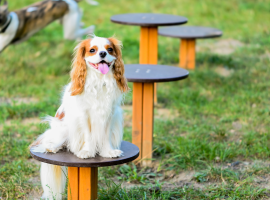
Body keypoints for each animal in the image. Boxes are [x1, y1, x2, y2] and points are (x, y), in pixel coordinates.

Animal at [30, 36, 129, 200]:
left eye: (109, 49)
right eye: (92, 50)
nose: (103, 53)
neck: (99, 81)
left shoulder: (109, 114)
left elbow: (105, 136)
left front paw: (107, 152)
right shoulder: (83, 114)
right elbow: (88, 136)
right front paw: (87, 151)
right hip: (63, 127)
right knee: (51, 141)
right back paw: (53, 147)